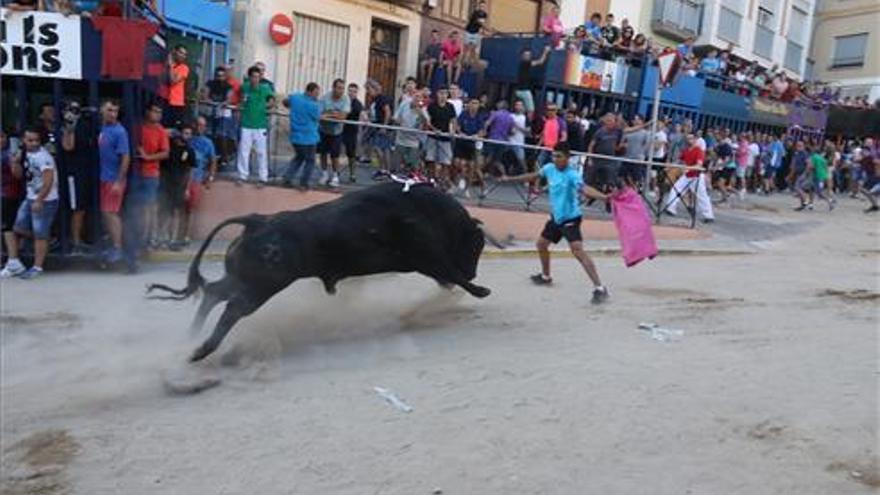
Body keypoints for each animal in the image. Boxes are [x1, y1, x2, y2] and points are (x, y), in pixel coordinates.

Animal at [148, 184, 498, 362]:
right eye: (476, 244)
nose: (473, 270)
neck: (428, 210)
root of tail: (258, 220)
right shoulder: (427, 255)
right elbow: (450, 271)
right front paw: (481, 290)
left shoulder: (427, 261)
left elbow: (447, 275)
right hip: (261, 287)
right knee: (232, 308)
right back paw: (200, 350)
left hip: (244, 278)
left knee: (213, 292)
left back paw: (192, 337)